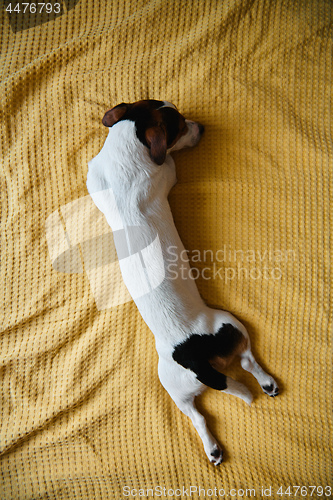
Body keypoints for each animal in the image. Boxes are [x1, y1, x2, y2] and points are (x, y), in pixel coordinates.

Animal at [85, 99, 278, 466]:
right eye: (180, 126)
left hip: (175, 389)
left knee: (199, 417)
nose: (202, 126)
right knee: (247, 360)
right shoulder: (168, 171)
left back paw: (213, 448)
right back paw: (266, 383)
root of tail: (197, 361)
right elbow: (172, 165)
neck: (127, 146)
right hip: (231, 323)